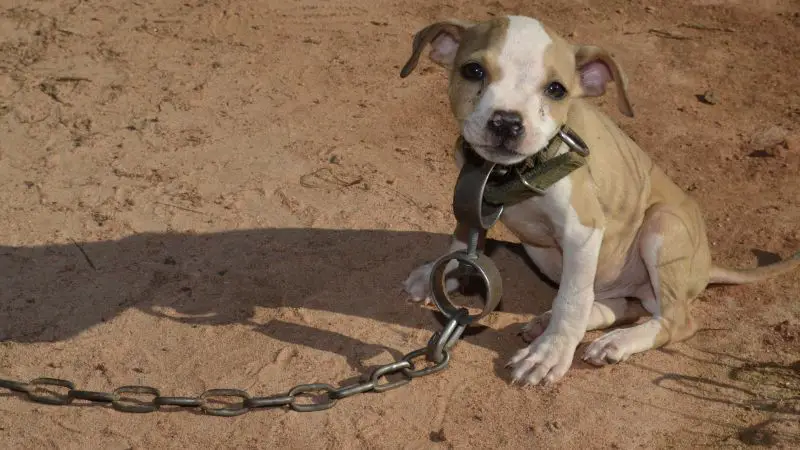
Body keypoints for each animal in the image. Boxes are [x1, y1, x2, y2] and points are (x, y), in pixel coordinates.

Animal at [400, 15, 800, 384]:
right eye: (473, 70)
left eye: (556, 89)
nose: (507, 123)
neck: (509, 172)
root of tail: (705, 265)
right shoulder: (472, 196)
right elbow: (462, 243)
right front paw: (441, 275)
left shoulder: (583, 230)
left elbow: (572, 300)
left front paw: (549, 354)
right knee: (621, 304)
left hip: (663, 224)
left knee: (674, 320)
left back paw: (615, 341)